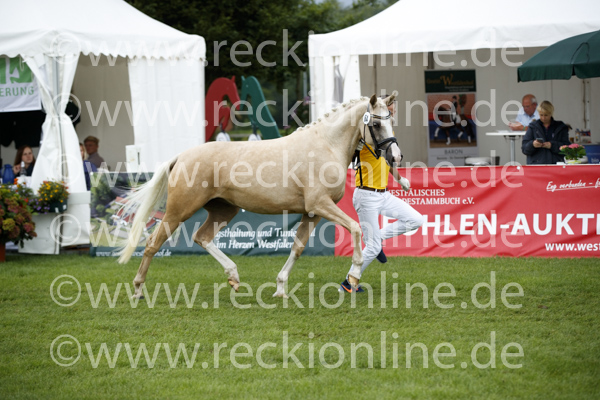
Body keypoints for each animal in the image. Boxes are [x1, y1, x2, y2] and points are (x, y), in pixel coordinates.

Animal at [117, 92, 402, 299]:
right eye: (376, 123)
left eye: (392, 121)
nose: (396, 156)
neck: (325, 144)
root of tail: (181, 156)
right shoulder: (321, 205)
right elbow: (355, 227)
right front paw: (354, 276)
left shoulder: (312, 212)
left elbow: (297, 248)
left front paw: (280, 288)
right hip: (178, 211)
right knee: (152, 243)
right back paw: (138, 289)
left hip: (224, 210)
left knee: (202, 237)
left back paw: (233, 277)